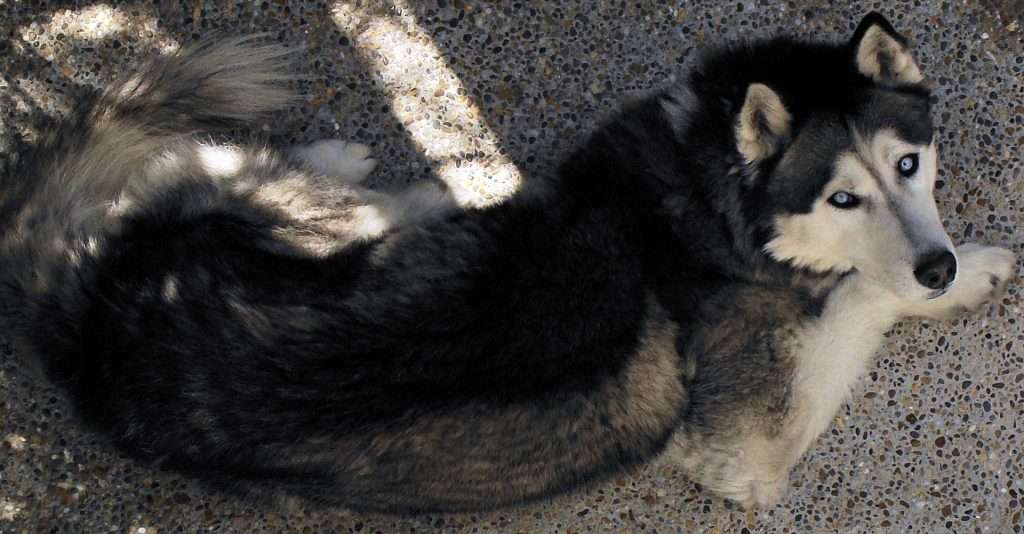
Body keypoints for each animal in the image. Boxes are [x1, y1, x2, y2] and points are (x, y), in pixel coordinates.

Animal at [0, 13, 1011, 512]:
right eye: (841, 199)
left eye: (908, 165)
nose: (935, 267)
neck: (698, 187)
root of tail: (93, 318)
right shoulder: (741, 454)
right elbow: (860, 295)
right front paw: (972, 273)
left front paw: (955, 268)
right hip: (342, 223)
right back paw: (356, 163)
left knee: (193, 164)